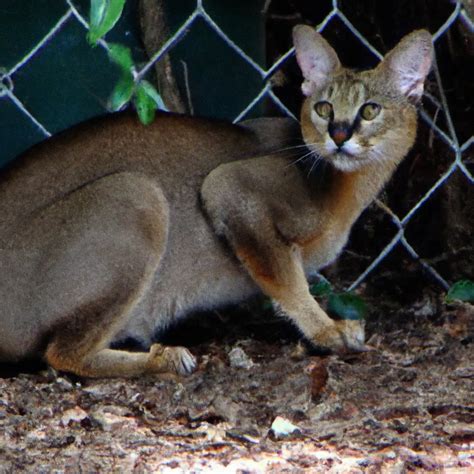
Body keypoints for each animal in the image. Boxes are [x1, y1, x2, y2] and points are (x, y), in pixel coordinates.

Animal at [0, 25, 434, 380]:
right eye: (324, 108)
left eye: (370, 109)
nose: (339, 134)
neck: (345, 188)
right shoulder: (229, 187)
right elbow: (286, 278)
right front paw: (326, 330)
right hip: (136, 193)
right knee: (64, 353)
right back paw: (164, 358)